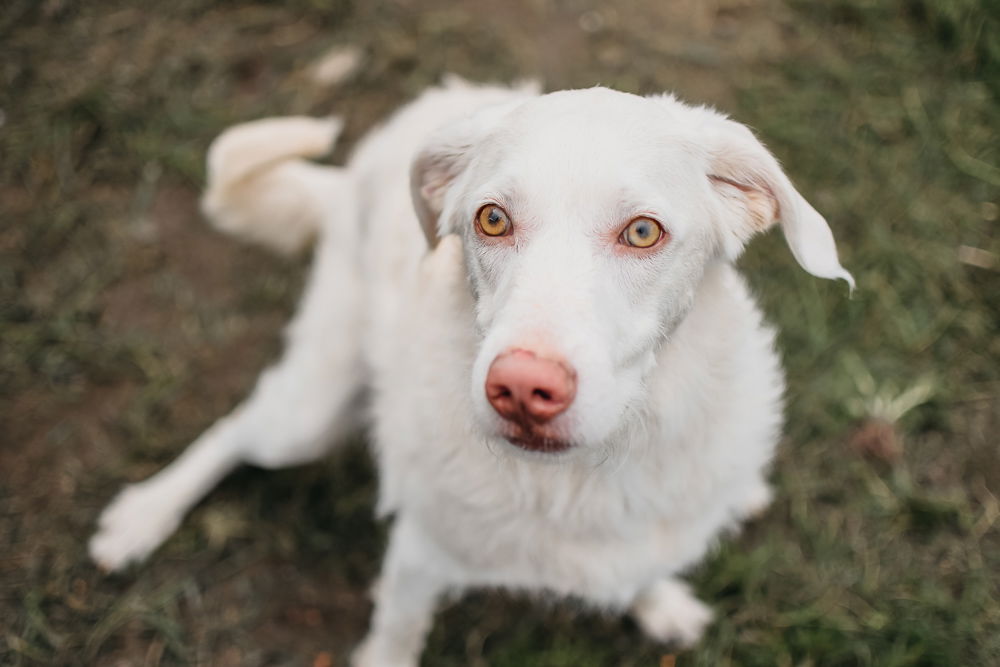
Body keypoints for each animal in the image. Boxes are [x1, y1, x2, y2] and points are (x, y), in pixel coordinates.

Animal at [92, 79, 852, 667]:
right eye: (491, 220)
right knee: (233, 429)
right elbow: (396, 636)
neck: (579, 480)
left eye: (643, 232)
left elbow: (647, 561)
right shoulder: (417, 555)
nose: (521, 389)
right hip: (308, 413)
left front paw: (659, 601)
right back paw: (142, 516)